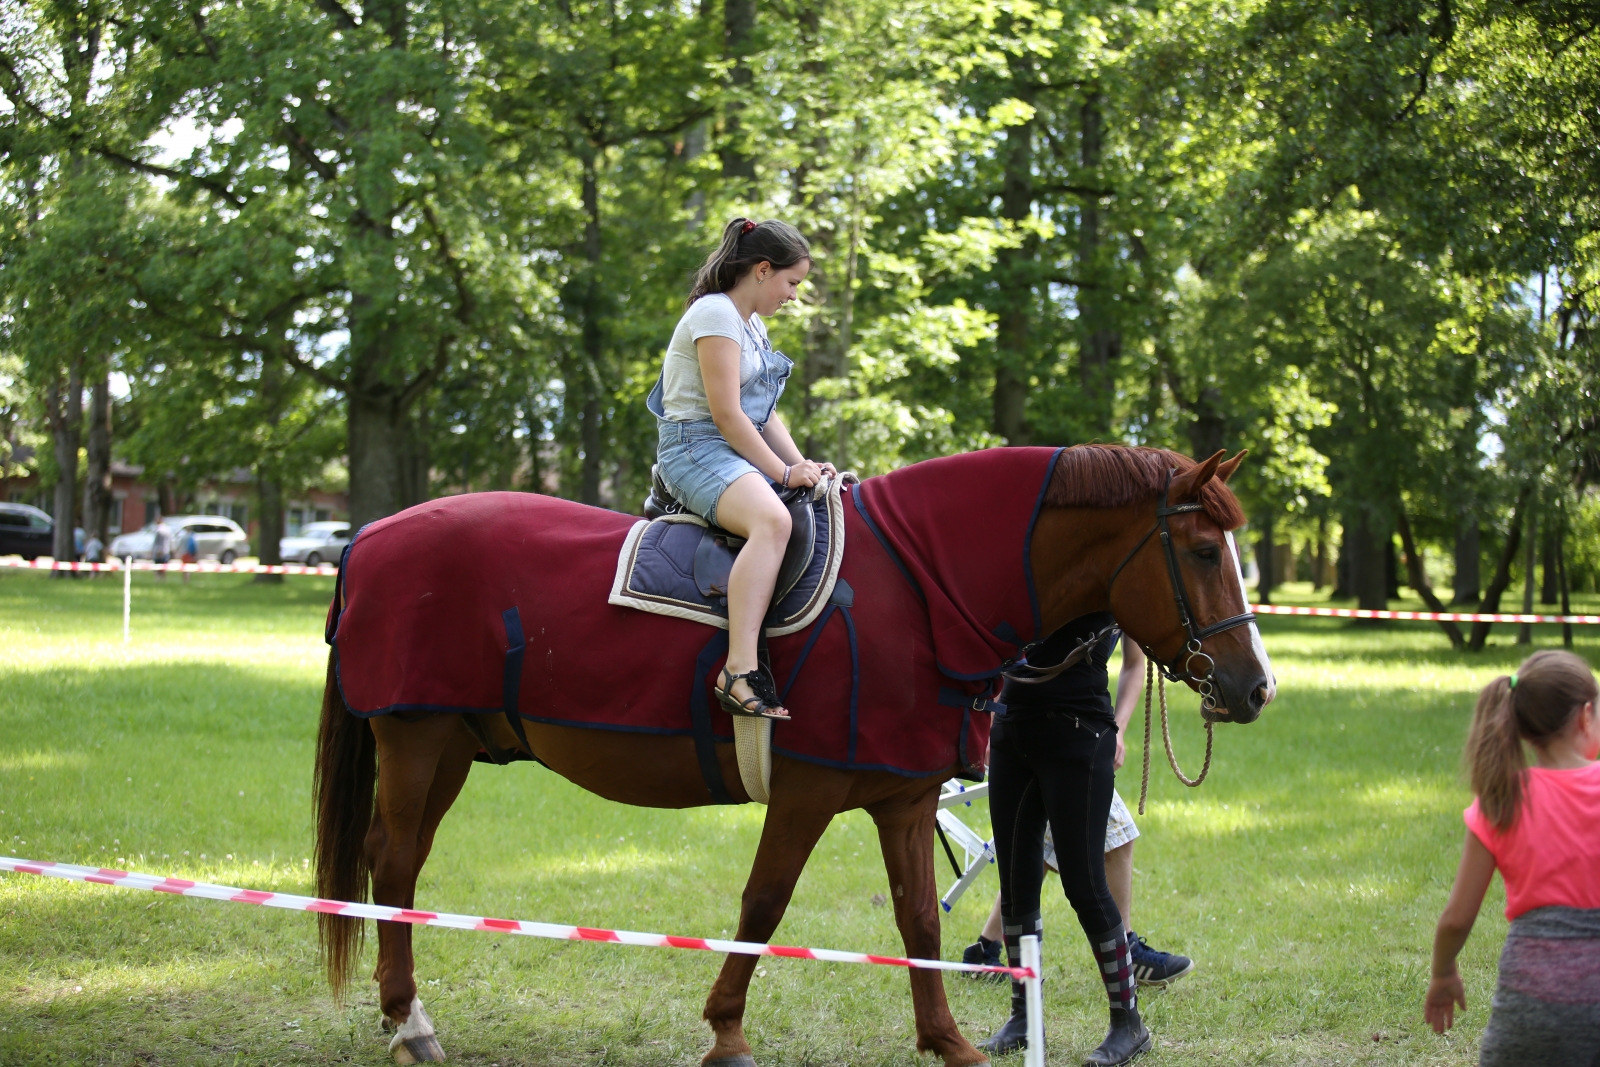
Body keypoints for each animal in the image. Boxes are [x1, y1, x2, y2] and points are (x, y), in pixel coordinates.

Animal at [312, 444, 1273, 1067]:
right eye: (1200, 549)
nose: (1253, 685)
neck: (916, 589)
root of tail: (369, 537)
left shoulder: (905, 799)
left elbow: (919, 921)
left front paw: (948, 1040)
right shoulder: (807, 794)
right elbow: (765, 902)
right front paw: (727, 1030)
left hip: (449, 746)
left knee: (393, 865)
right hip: (415, 736)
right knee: (393, 864)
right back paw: (409, 1022)